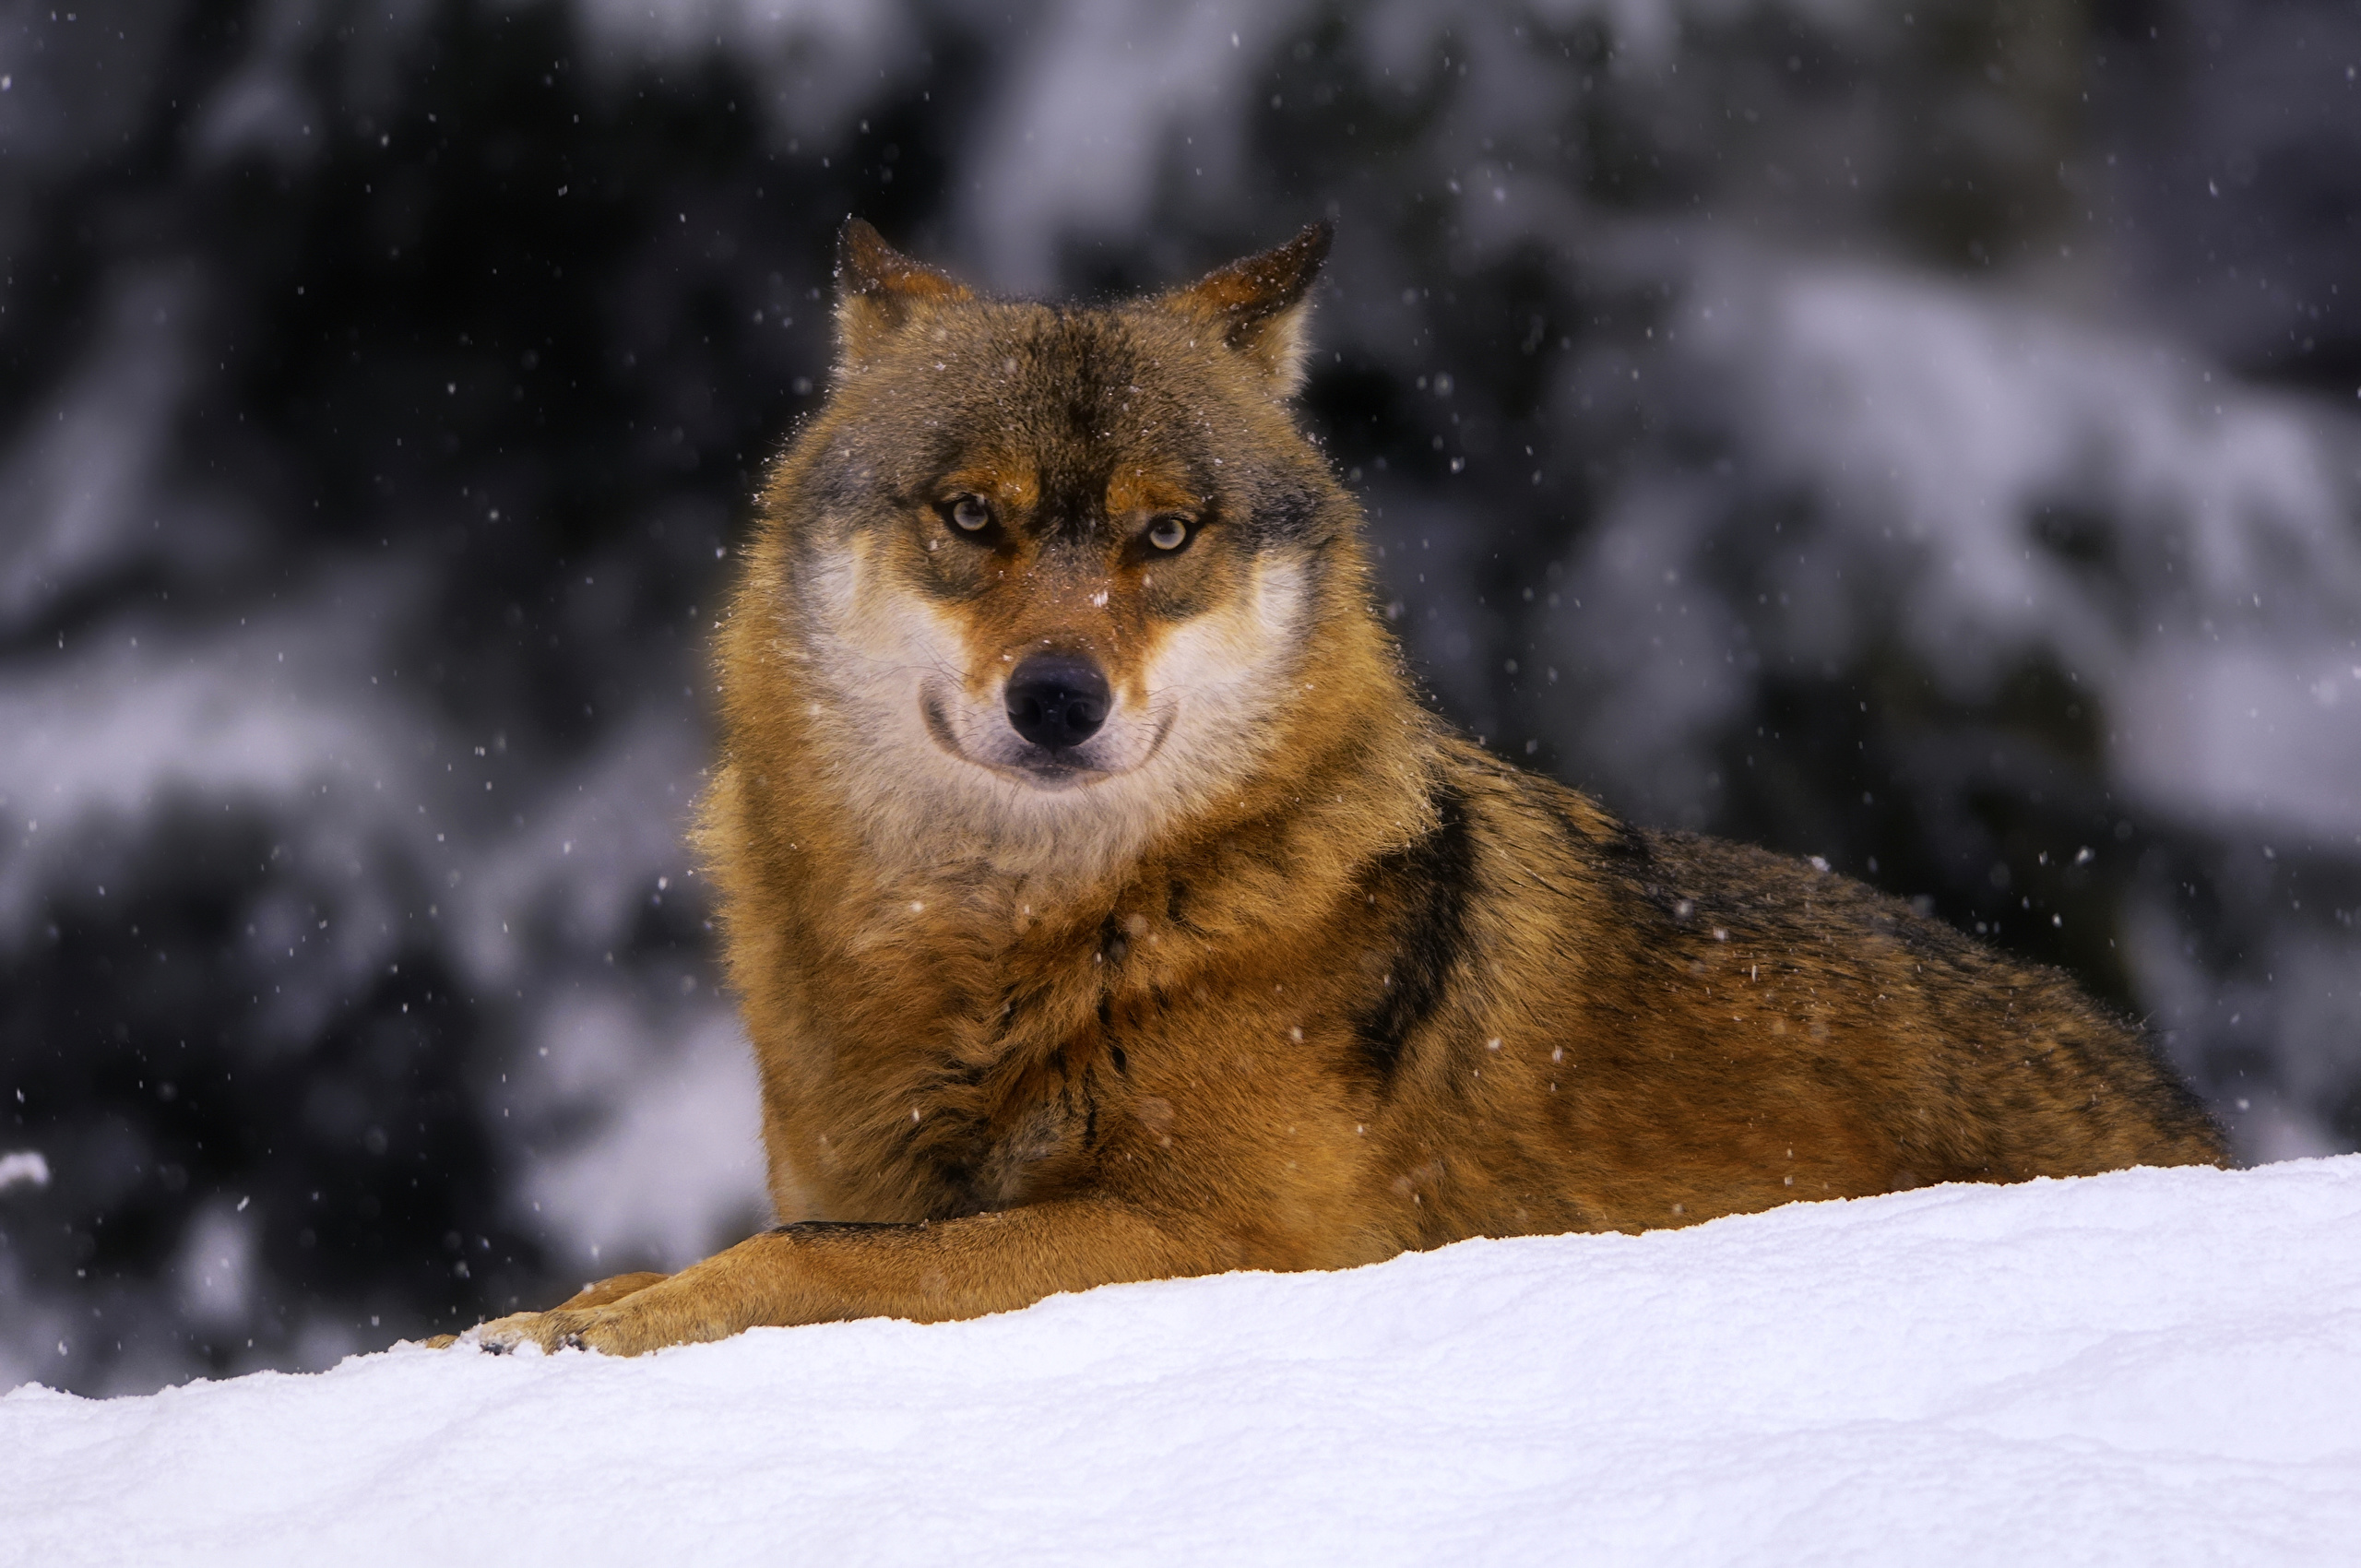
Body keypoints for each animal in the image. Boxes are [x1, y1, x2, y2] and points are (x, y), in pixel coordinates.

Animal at [450, 222, 2219, 1360]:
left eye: (1166, 535)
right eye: (972, 517)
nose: (1058, 698)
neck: (1010, 940)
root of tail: (2188, 1117)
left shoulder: (1215, 1237)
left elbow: (811, 1259)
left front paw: (607, 1331)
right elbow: (768, 1238)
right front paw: (554, 1314)